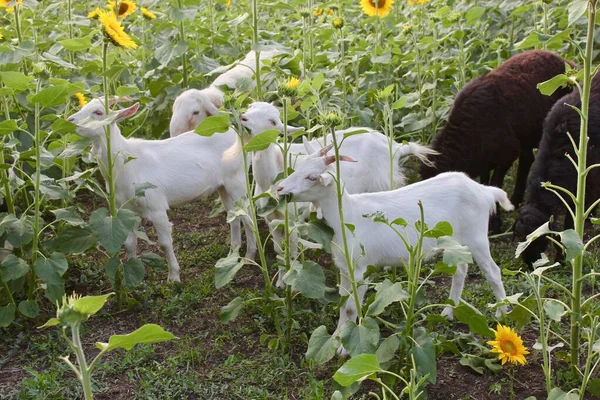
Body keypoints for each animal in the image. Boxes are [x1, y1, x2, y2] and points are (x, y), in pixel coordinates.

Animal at [68, 99, 255, 282]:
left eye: (98, 112)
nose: (70, 120)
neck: (126, 162)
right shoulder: (128, 209)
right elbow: (129, 243)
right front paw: (132, 273)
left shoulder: (156, 206)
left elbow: (165, 243)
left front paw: (174, 277)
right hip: (223, 187)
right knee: (234, 215)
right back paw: (232, 254)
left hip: (237, 181)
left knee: (248, 217)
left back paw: (249, 256)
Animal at [276, 149, 510, 354]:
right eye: (300, 167)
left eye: (311, 177)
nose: (279, 188)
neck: (347, 215)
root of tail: (484, 191)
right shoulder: (343, 268)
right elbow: (343, 305)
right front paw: (335, 338)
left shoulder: (360, 270)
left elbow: (351, 308)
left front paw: (344, 348)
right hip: (454, 242)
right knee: (460, 270)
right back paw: (448, 311)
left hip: (476, 237)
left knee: (493, 271)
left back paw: (501, 314)